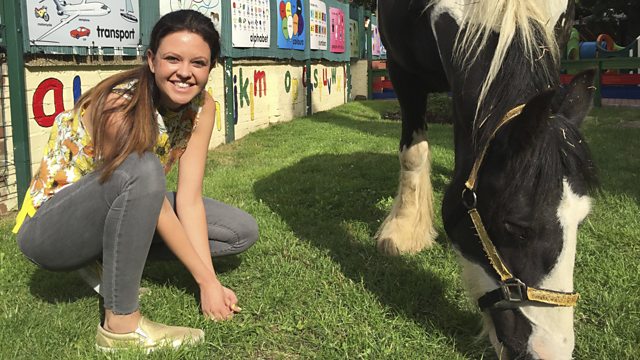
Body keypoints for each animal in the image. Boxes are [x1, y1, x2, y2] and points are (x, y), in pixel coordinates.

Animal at [378, 0, 596, 358]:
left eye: (581, 220)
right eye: (517, 227)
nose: (550, 351)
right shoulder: (401, 70)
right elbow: (413, 153)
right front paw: (403, 230)